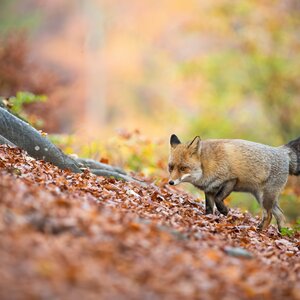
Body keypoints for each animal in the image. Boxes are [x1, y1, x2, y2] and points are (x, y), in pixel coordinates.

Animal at [169, 135, 300, 231]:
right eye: (171, 167)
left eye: (183, 168)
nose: (170, 182)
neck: (207, 165)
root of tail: (282, 151)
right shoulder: (209, 189)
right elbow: (209, 208)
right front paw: (208, 219)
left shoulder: (231, 180)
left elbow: (218, 199)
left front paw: (224, 211)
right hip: (262, 198)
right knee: (280, 215)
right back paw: (281, 234)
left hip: (266, 198)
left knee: (269, 216)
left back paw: (260, 230)